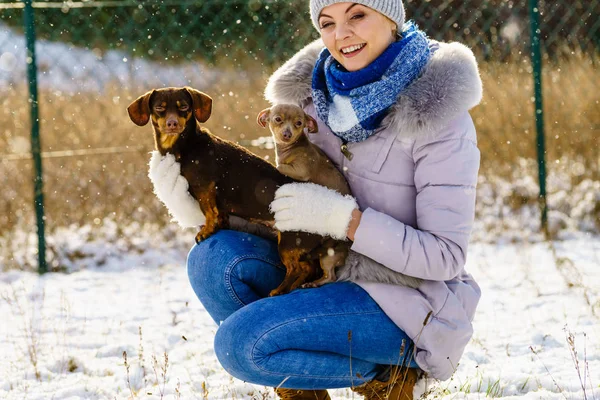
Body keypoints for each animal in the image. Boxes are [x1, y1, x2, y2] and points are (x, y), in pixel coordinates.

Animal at [127, 86, 330, 296]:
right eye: (160, 107)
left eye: (183, 106)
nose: (172, 123)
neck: (185, 146)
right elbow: (218, 213)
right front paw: (219, 225)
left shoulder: (204, 186)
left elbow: (209, 211)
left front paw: (206, 231)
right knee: (308, 268)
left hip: (290, 242)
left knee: (298, 268)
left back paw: (278, 291)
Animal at [258, 104, 352, 288]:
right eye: (277, 119)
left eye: (299, 123)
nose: (287, 134)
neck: (291, 148)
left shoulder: (301, 171)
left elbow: (279, 166)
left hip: (329, 256)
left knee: (331, 276)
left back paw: (313, 283)